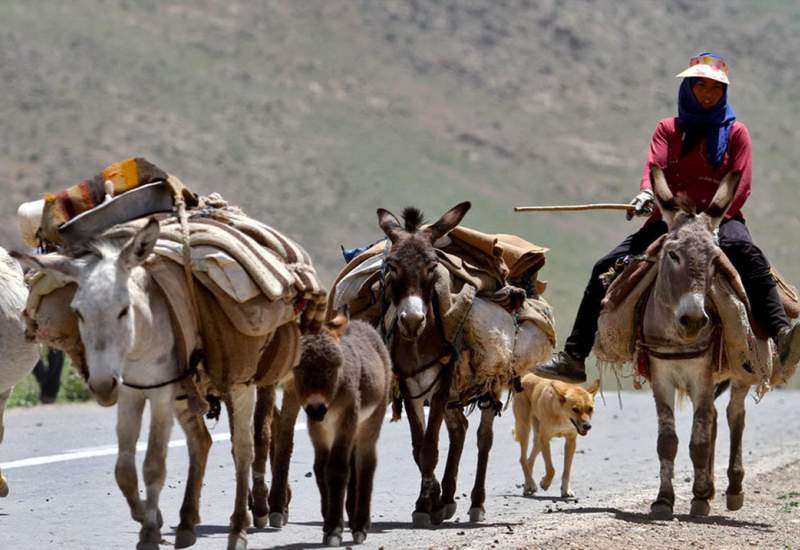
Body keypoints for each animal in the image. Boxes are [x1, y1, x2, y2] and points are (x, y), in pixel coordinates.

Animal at [296, 316, 392, 548]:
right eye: (299, 369)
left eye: (333, 368)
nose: (317, 408)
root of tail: (362, 322)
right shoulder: (318, 429)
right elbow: (320, 468)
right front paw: (328, 518)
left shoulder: (346, 419)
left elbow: (337, 469)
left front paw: (334, 530)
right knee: (353, 464)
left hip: (370, 421)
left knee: (366, 464)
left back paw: (360, 526)